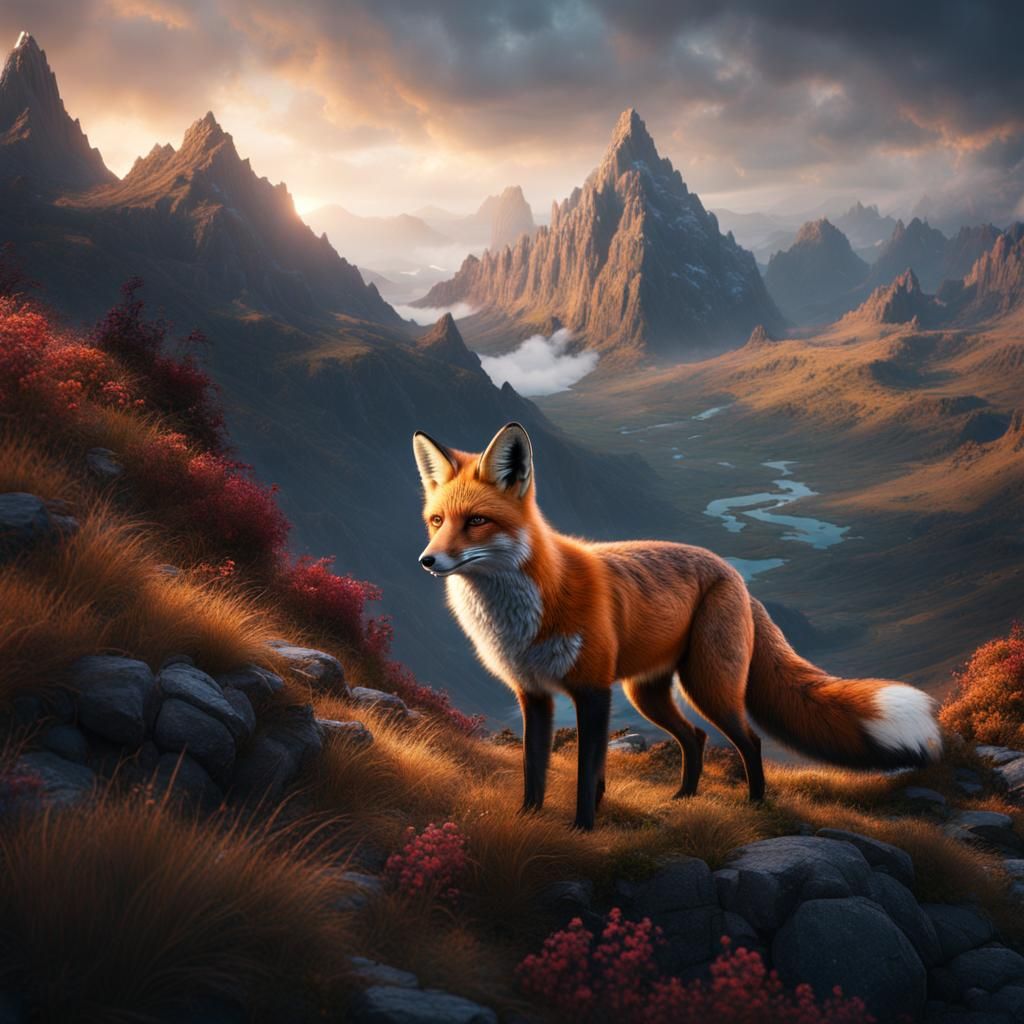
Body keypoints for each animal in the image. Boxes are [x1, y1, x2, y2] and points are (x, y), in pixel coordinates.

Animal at [413, 422, 942, 830]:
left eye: (477, 521)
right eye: (436, 521)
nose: (427, 561)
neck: (524, 613)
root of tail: (735, 575)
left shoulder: (593, 690)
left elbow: (586, 773)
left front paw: (583, 827)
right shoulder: (534, 694)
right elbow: (533, 769)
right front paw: (528, 819)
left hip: (706, 685)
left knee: (748, 740)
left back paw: (756, 803)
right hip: (647, 693)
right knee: (696, 738)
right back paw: (685, 797)